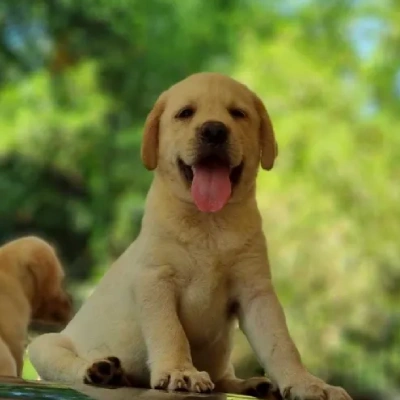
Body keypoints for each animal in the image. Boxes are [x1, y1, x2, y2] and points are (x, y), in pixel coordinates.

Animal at [28, 72, 352, 400]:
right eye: (185, 113)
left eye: (238, 113)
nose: (214, 130)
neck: (209, 223)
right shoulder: (156, 281)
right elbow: (170, 332)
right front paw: (179, 372)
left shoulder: (256, 291)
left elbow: (280, 344)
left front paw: (306, 383)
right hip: (44, 346)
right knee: (67, 363)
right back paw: (101, 370)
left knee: (223, 377)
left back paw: (253, 384)